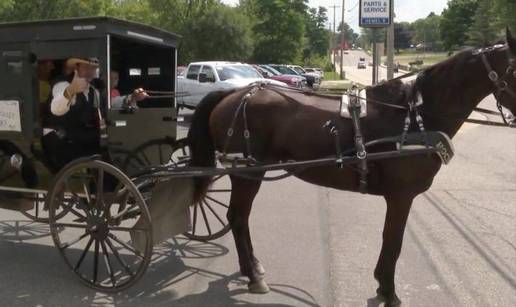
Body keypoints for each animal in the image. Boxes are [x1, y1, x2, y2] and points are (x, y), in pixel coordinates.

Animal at [187, 28, 516, 306]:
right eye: (514, 69)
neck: (415, 118)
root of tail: (235, 94)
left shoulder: (399, 196)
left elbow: (391, 241)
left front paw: (383, 285)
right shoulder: (401, 195)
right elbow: (393, 241)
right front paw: (388, 291)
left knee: (240, 217)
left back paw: (252, 268)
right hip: (248, 171)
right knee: (238, 217)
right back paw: (253, 275)